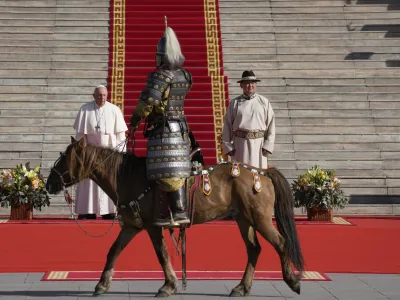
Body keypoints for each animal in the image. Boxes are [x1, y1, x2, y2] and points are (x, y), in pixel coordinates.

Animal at [46, 136, 304, 298]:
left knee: (281, 243)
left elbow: (161, 254)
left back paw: (292, 280)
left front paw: (169, 285)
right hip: (243, 219)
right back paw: (242, 287)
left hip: (259, 219)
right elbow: (114, 250)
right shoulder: (132, 226)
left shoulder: (152, 226)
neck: (129, 177)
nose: (49, 183)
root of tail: (262, 172)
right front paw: (102, 284)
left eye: (64, 160)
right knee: (254, 249)